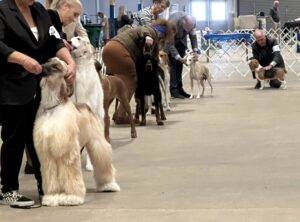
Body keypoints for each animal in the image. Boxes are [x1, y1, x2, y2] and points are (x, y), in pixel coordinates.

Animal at [33, 57, 120, 206]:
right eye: (48, 60)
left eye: (56, 66)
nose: (41, 66)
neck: (52, 108)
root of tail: (86, 105)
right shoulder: (47, 153)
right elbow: (51, 176)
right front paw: (52, 196)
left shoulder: (67, 151)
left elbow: (70, 175)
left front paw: (72, 197)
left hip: (97, 142)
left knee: (103, 160)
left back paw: (108, 185)